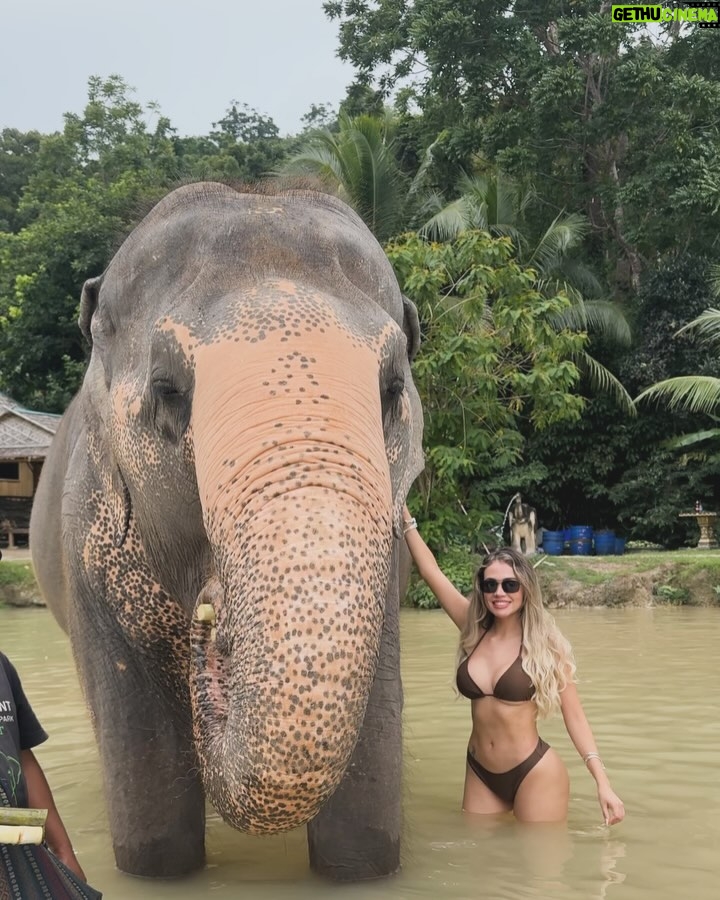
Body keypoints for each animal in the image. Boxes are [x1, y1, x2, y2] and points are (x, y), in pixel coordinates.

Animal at [29, 182, 424, 882]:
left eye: (391, 387)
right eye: (167, 389)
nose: (213, 625)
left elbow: (362, 835)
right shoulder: (89, 555)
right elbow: (157, 839)